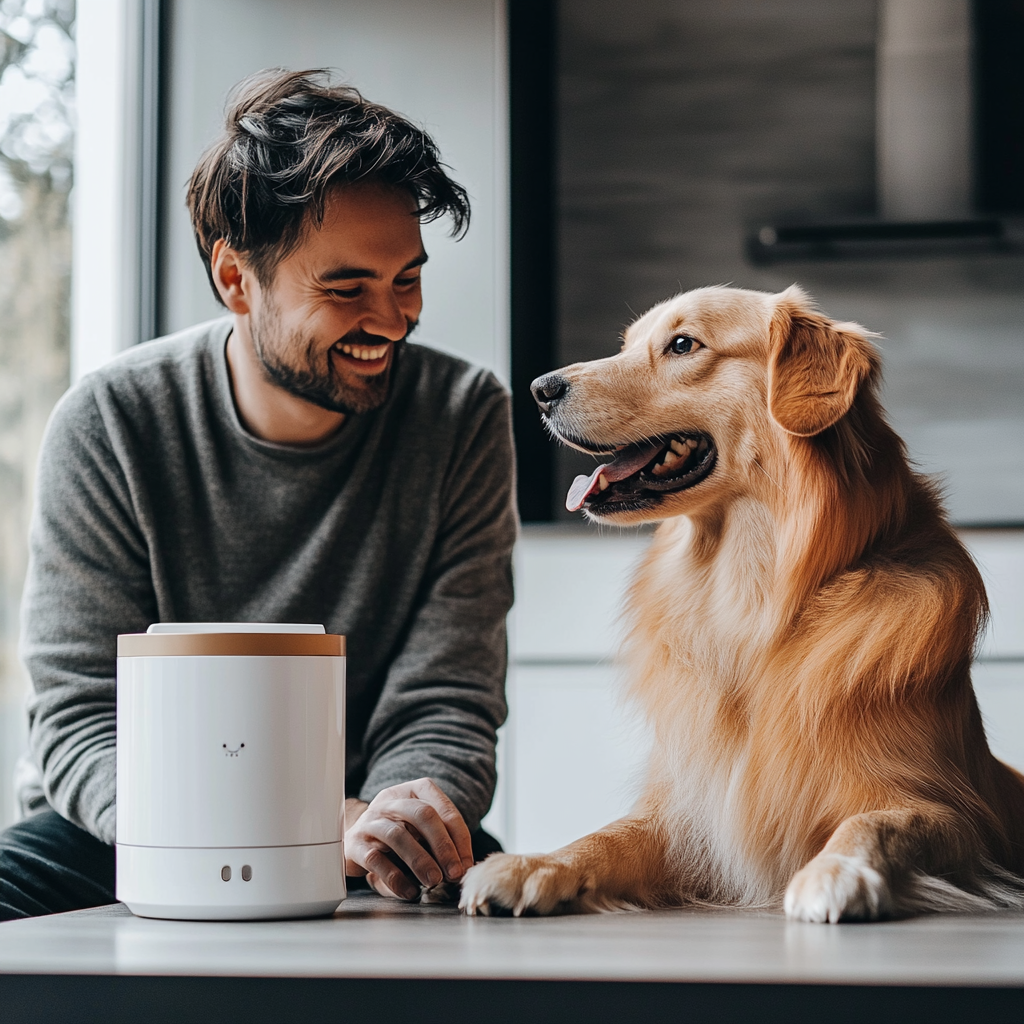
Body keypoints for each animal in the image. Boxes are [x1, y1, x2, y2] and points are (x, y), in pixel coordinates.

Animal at [460, 286, 1024, 921]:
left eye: (683, 344)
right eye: (626, 345)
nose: (538, 389)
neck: (755, 605)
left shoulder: (956, 816)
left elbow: (876, 823)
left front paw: (834, 870)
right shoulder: (689, 817)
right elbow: (605, 836)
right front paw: (530, 864)